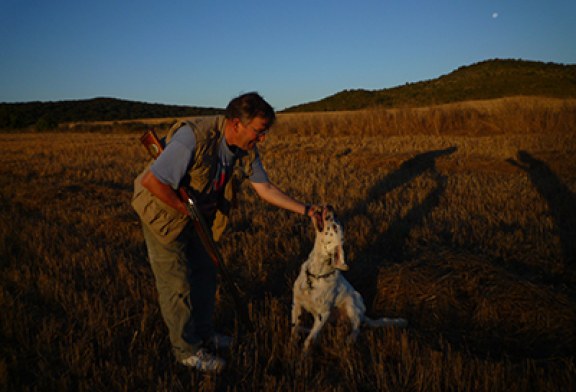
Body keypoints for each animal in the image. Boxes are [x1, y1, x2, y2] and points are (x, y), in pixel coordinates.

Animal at [292, 207, 404, 350]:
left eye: (335, 227)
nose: (330, 207)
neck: (315, 275)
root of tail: (364, 316)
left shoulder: (323, 314)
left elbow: (309, 341)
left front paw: (303, 355)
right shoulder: (296, 304)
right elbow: (294, 330)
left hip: (352, 302)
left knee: (356, 328)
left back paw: (350, 340)